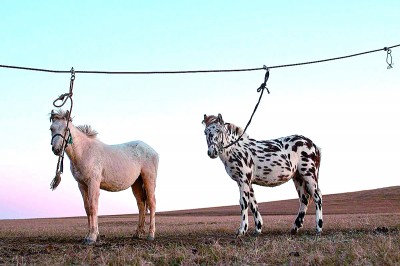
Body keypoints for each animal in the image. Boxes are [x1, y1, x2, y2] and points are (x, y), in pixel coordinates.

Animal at [50, 109, 160, 244]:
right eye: (51, 128)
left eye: (66, 128)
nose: (56, 149)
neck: (84, 151)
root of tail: (152, 150)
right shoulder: (82, 185)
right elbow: (87, 208)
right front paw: (89, 235)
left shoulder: (93, 183)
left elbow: (93, 206)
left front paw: (92, 237)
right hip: (137, 183)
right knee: (141, 205)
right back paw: (137, 233)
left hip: (149, 180)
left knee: (152, 203)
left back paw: (151, 235)